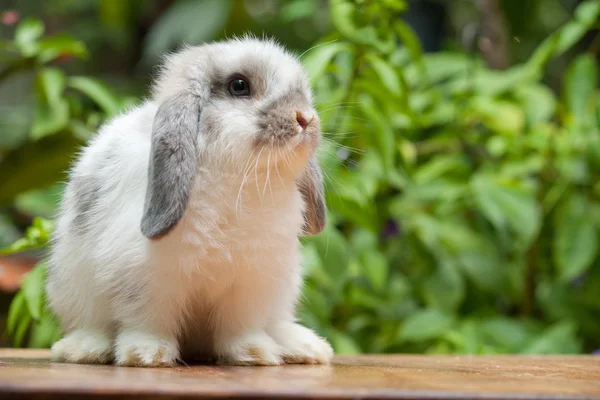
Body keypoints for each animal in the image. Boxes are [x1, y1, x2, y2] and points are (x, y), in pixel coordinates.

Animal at [46, 36, 332, 368]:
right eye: (239, 86)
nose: (305, 118)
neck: (233, 178)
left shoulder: (249, 285)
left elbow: (240, 326)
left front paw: (254, 353)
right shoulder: (148, 281)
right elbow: (147, 321)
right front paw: (146, 355)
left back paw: (306, 347)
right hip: (74, 289)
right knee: (92, 325)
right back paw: (83, 349)